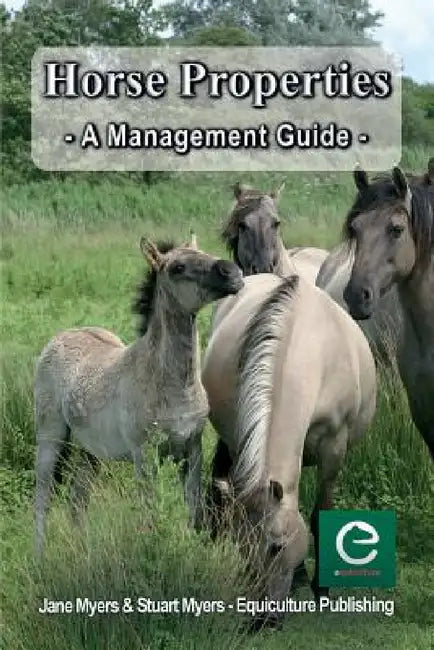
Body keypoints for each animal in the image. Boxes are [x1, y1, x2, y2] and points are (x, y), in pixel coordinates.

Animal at [34, 237, 244, 554]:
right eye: (177, 267)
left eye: (203, 251)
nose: (232, 272)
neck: (174, 387)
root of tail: (62, 337)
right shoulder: (145, 456)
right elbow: (150, 512)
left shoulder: (191, 450)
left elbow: (193, 509)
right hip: (50, 437)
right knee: (43, 497)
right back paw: (39, 557)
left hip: (91, 450)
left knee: (77, 498)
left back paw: (85, 552)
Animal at [202, 272, 376, 622]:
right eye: (240, 545)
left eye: (277, 547)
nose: (261, 619)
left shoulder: (333, 450)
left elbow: (319, 515)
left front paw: (321, 590)